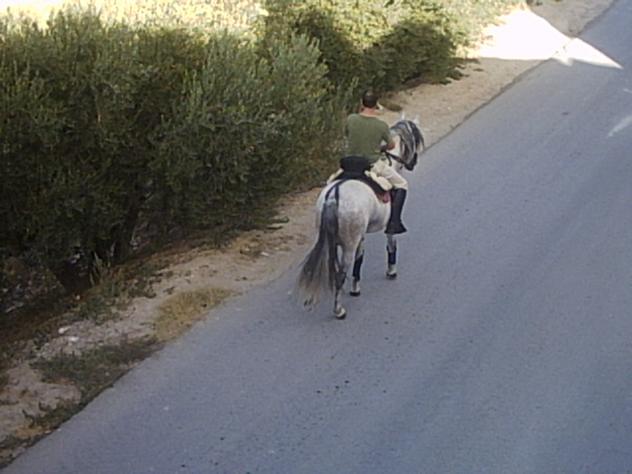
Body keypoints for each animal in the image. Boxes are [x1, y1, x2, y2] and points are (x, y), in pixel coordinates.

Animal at [296, 118, 425, 319]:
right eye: (415, 139)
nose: (413, 162)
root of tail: (334, 195)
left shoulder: (360, 236)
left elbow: (360, 259)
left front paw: (356, 288)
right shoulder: (388, 225)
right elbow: (391, 244)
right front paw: (391, 271)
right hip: (348, 244)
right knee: (340, 274)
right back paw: (339, 310)